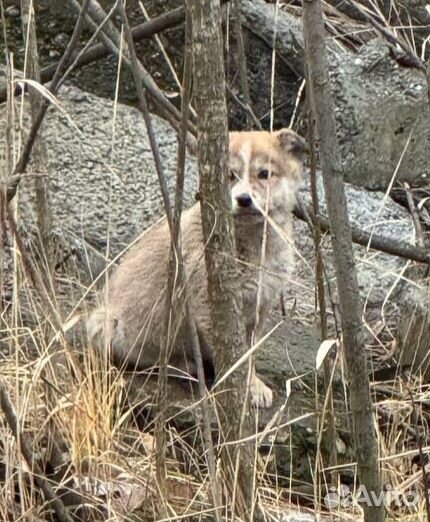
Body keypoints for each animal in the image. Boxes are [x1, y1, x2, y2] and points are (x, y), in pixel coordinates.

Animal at [87, 129, 306, 406]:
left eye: (264, 174)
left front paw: (254, 387)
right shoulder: (211, 306)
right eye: (228, 175)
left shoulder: (259, 307)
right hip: (109, 326)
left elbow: (250, 353)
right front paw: (241, 390)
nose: (244, 199)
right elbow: (235, 359)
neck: (252, 243)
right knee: (146, 361)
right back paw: (184, 366)